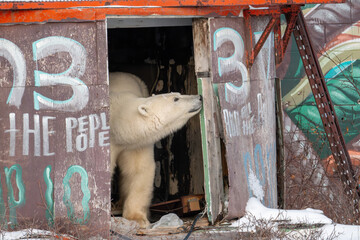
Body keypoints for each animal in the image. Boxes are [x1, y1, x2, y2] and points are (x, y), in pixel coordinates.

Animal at [108, 72, 202, 228]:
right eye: (176, 99)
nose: (199, 97)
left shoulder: (135, 144)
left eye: (177, 94)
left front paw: (137, 219)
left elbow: (138, 170)